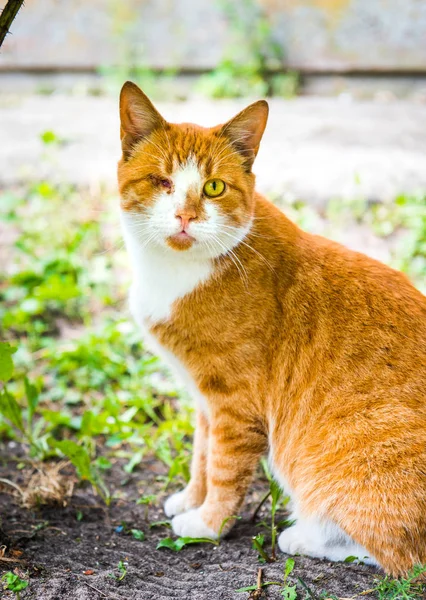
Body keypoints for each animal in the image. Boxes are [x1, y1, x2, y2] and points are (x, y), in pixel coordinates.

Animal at [118, 81, 426, 576]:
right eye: (162, 182)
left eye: (213, 187)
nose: (185, 216)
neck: (178, 271)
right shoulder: (205, 398)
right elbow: (201, 455)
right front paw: (189, 499)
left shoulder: (235, 403)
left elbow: (223, 469)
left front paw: (207, 523)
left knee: (400, 555)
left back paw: (304, 534)